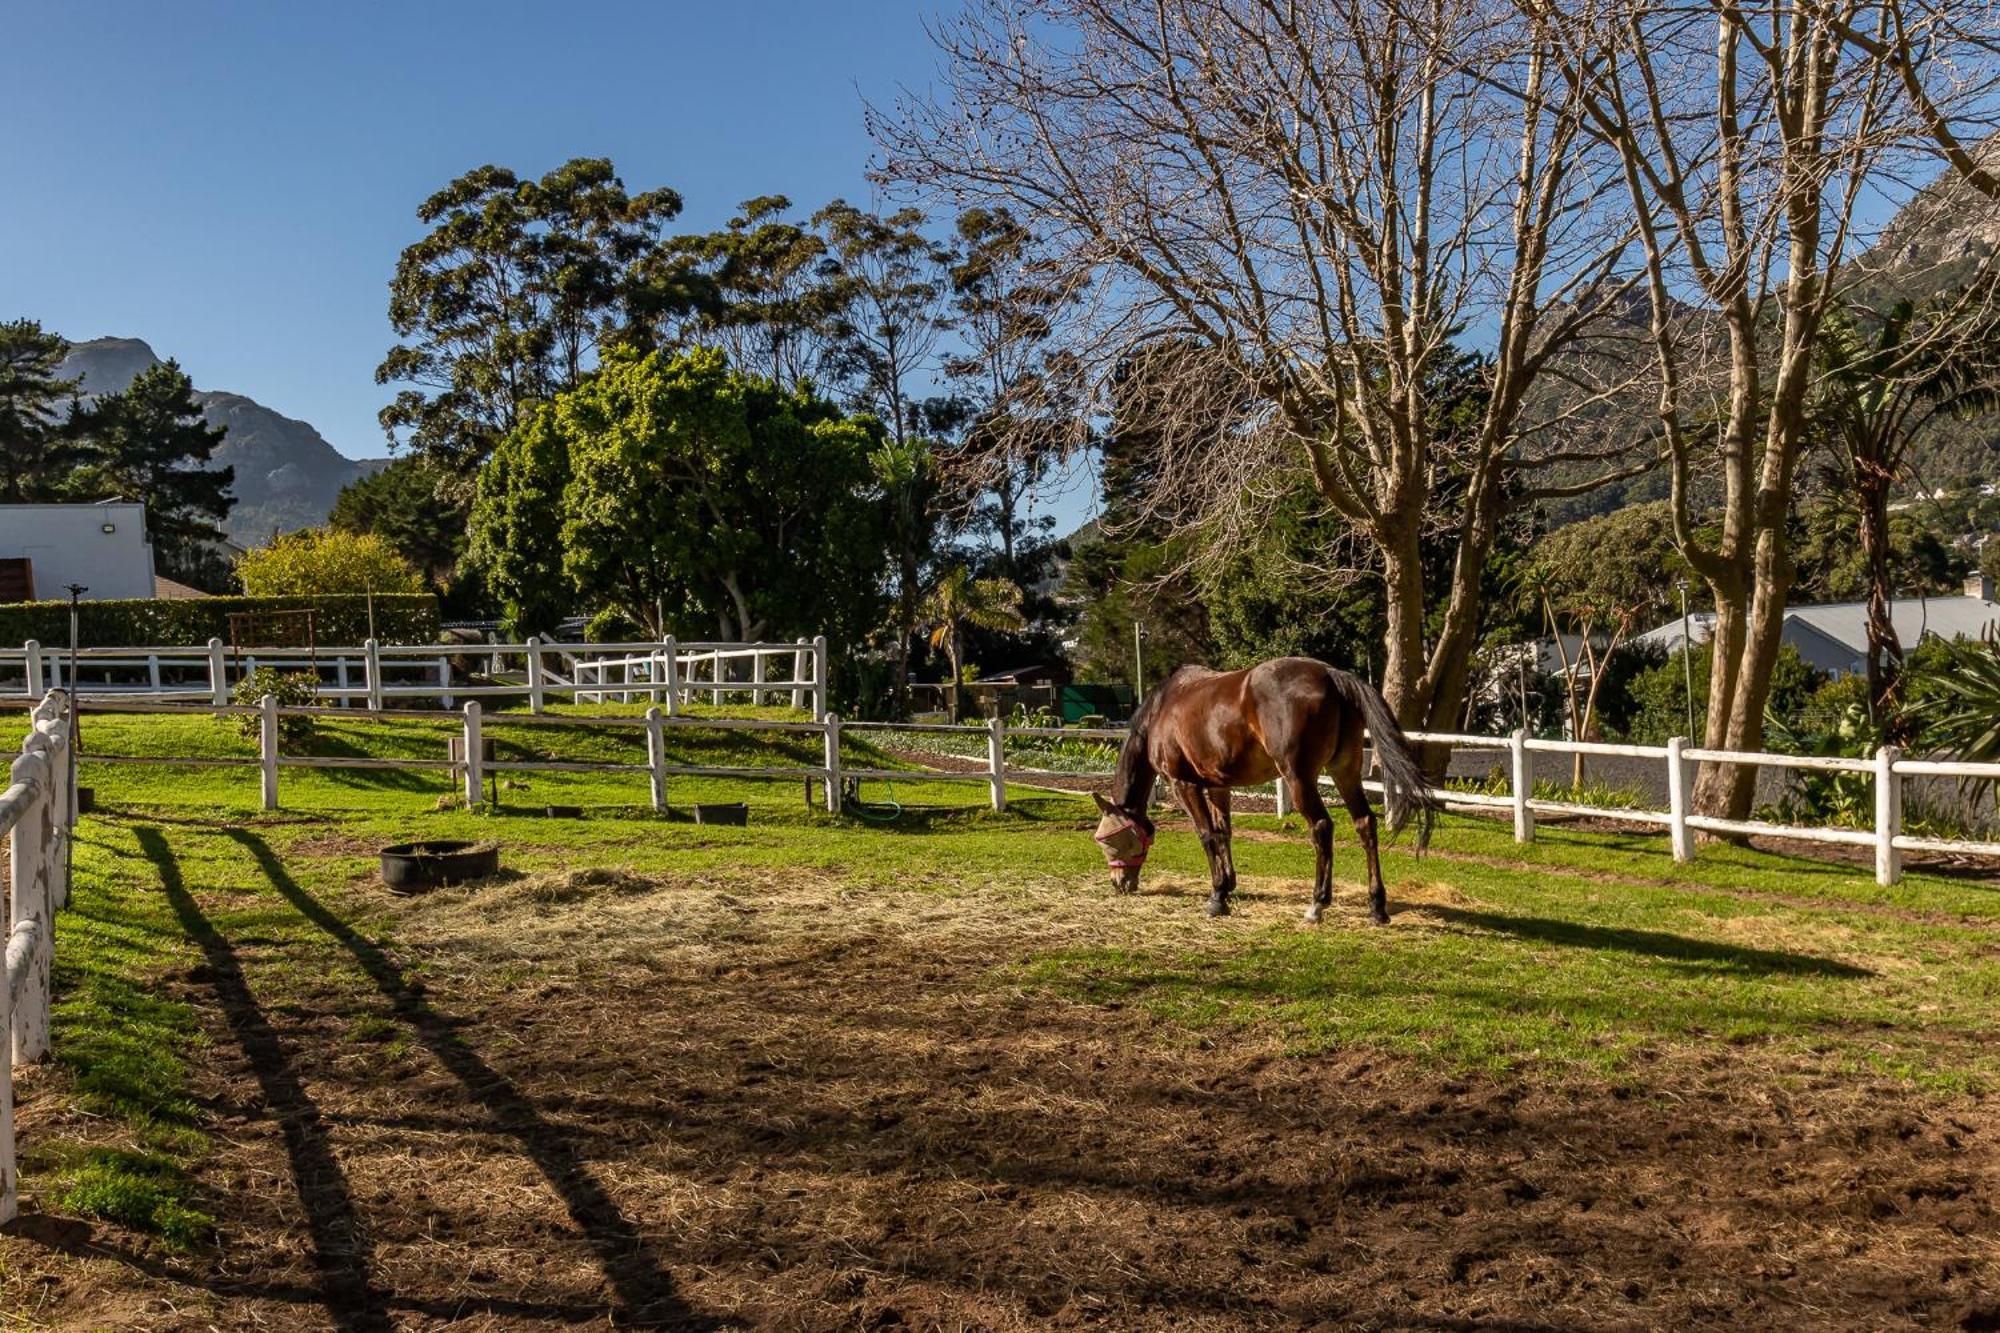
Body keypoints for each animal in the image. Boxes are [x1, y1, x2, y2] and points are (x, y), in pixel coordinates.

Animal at [1096, 656, 1440, 924]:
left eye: (1108, 840)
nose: (1119, 883)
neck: (1164, 708)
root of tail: (1330, 674)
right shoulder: (1218, 786)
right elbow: (1223, 832)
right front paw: (1227, 887)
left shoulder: (1184, 785)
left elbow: (1206, 835)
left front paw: (1216, 894)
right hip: (1345, 771)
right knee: (1365, 823)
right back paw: (1376, 906)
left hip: (1298, 778)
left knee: (1321, 827)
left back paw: (1317, 904)